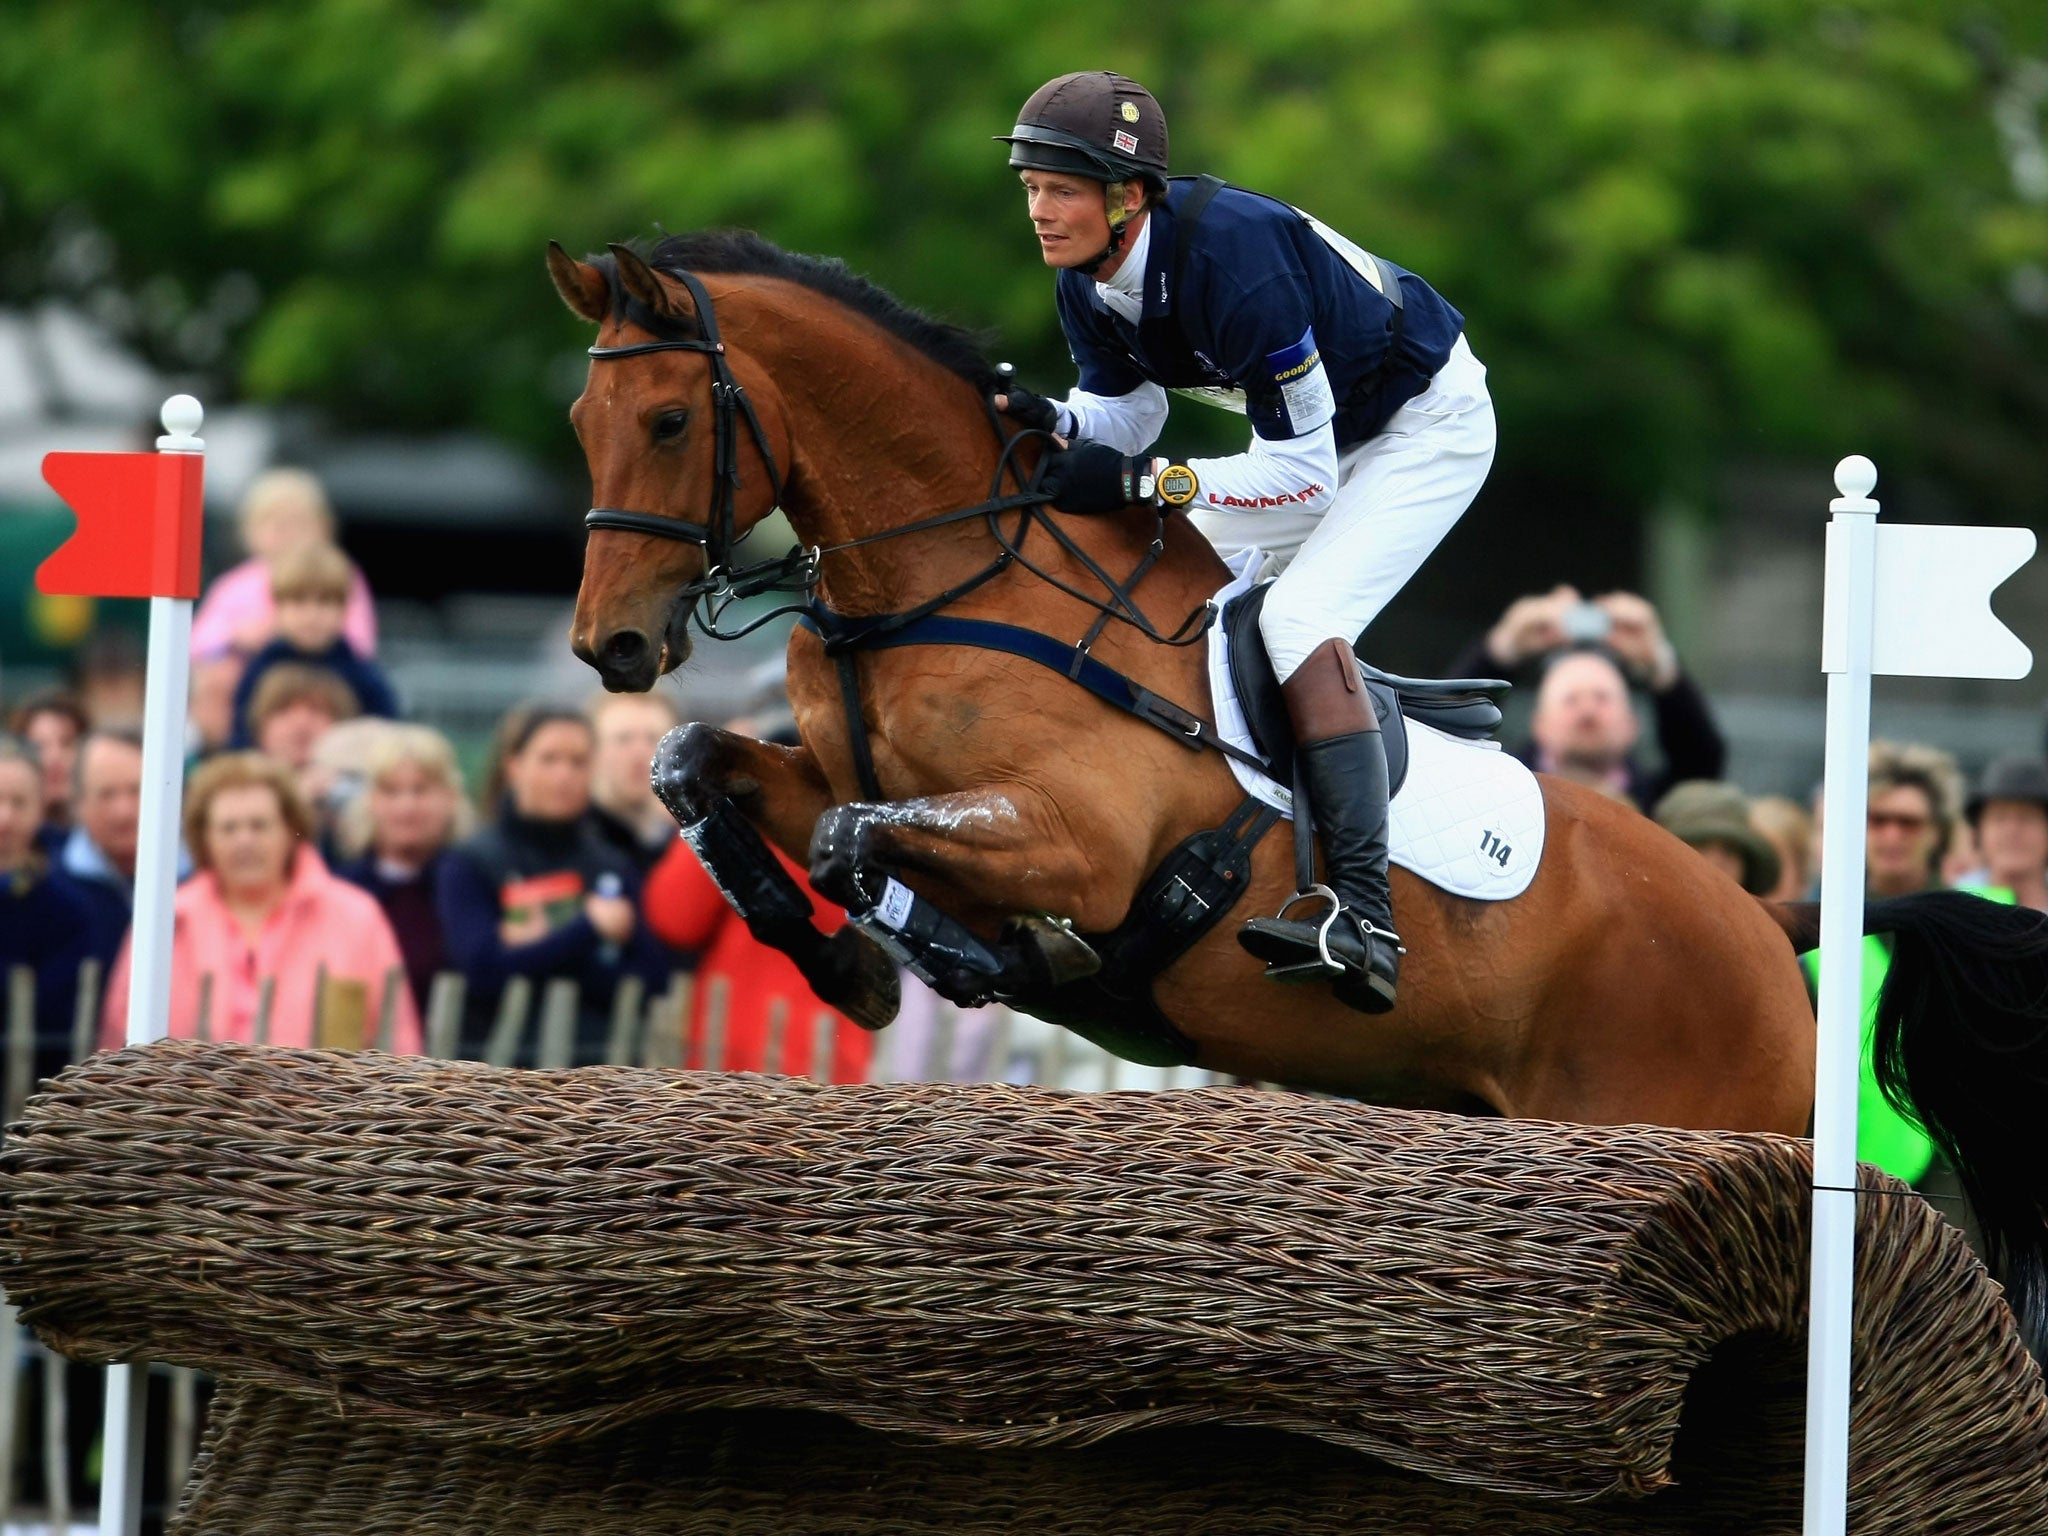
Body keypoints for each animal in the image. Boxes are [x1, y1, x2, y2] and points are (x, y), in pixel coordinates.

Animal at [544, 231, 2048, 1343]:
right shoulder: (822, 772)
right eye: (581, 419)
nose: (611, 646)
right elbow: (707, 774)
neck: (934, 581)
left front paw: (976, 954)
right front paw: (844, 966)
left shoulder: (1078, 845)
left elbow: (866, 841)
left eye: (668, 418)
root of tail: (1768, 917)